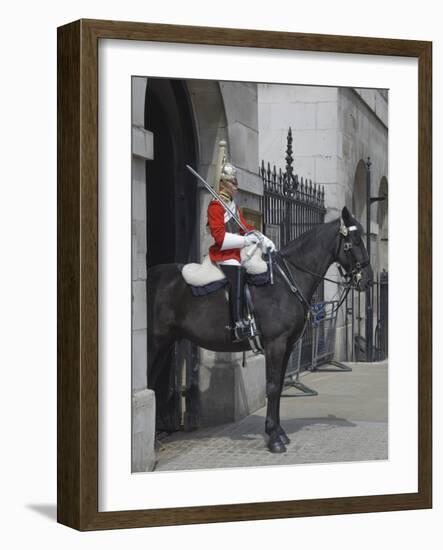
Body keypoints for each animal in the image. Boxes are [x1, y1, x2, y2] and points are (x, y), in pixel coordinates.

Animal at [147, 207, 372, 452]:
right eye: (355, 240)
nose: (368, 281)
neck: (286, 281)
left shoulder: (288, 346)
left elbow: (280, 385)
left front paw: (279, 432)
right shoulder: (276, 344)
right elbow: (272, 386)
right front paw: (274, 438)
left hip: (165, 343)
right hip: (154, 343)